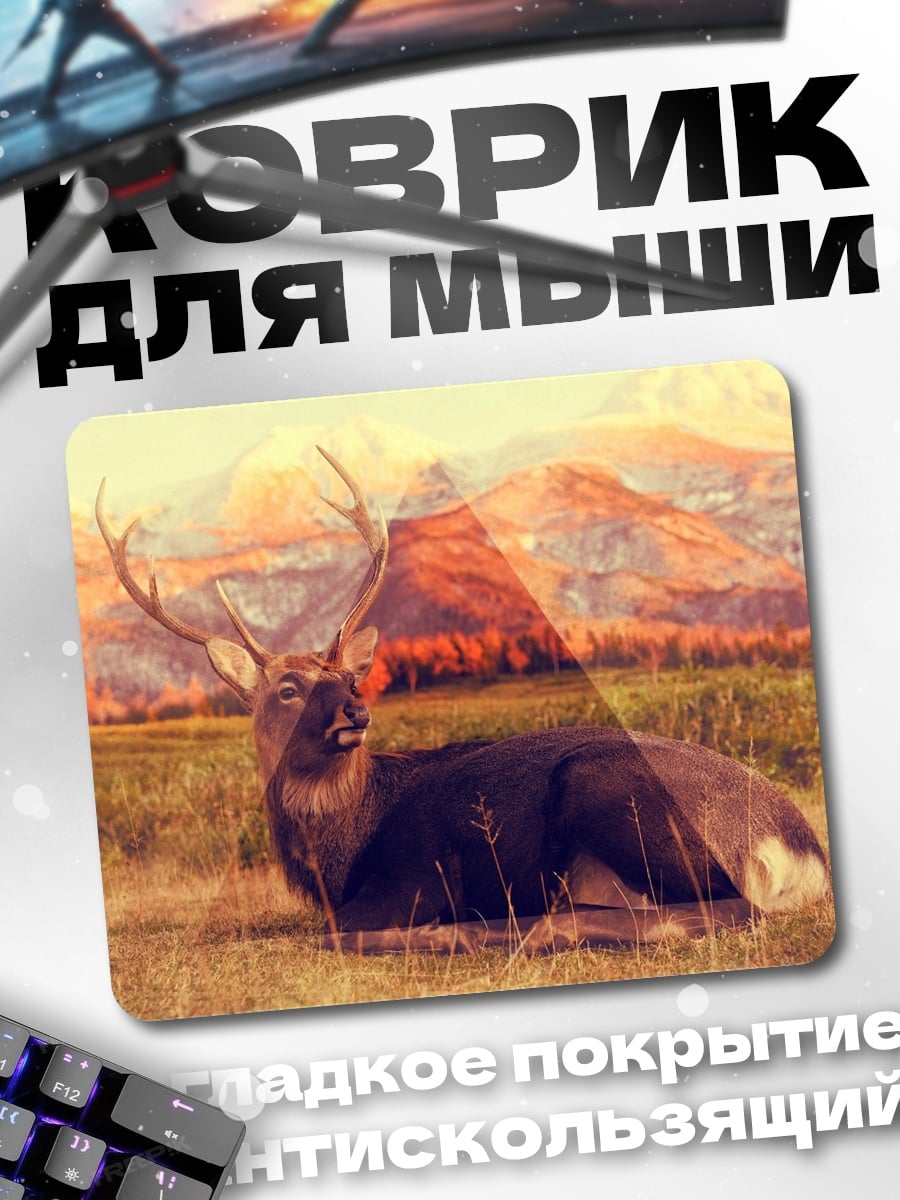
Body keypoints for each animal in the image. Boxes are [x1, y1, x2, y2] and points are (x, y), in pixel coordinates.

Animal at [95, 448, 830, 955]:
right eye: (288, 688)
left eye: (350, 679)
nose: (357, 714)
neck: (336, 855)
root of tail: (800, 851)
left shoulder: (414, 876)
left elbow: (331, 932)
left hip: (610, 786)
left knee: (721, 909)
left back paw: (503, 930)